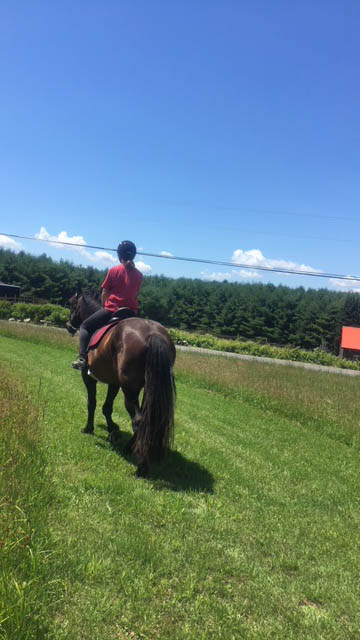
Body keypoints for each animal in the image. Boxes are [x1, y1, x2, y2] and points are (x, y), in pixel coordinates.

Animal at [67, 292, 176, 478]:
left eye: (73, 305)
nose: (68, 326)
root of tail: (154, 334)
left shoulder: (88, 377)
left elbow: (92, 403)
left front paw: (89, 428)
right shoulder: (114, 383)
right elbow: (107, 407)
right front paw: (113, 430)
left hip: (130, 390)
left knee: (138, 420)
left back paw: (141, 467)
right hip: (147, 388)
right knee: (145, 418)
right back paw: (130, 448)